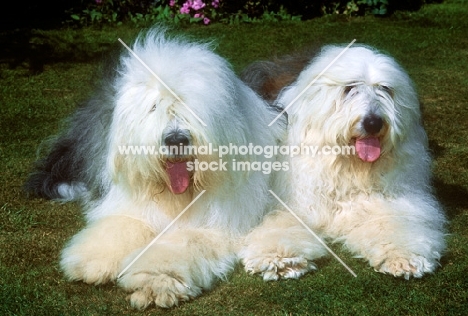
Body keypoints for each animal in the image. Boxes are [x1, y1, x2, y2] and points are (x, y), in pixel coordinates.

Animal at [25, 27, 284, 308]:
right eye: (154, 107)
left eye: (191, 106)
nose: (176, 140)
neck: (178, 195)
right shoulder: (133, 205)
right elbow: (122, 225)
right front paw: (91, 260)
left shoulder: (215, 223)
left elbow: (182, 243)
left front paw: (153, 281)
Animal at [241, 44, 446, 278]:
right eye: (349, 88)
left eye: (385, 89)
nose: (373, 123)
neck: (347, 165)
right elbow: (280, 223)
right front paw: (280, 259)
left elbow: (392, 221)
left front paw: (403, 256)